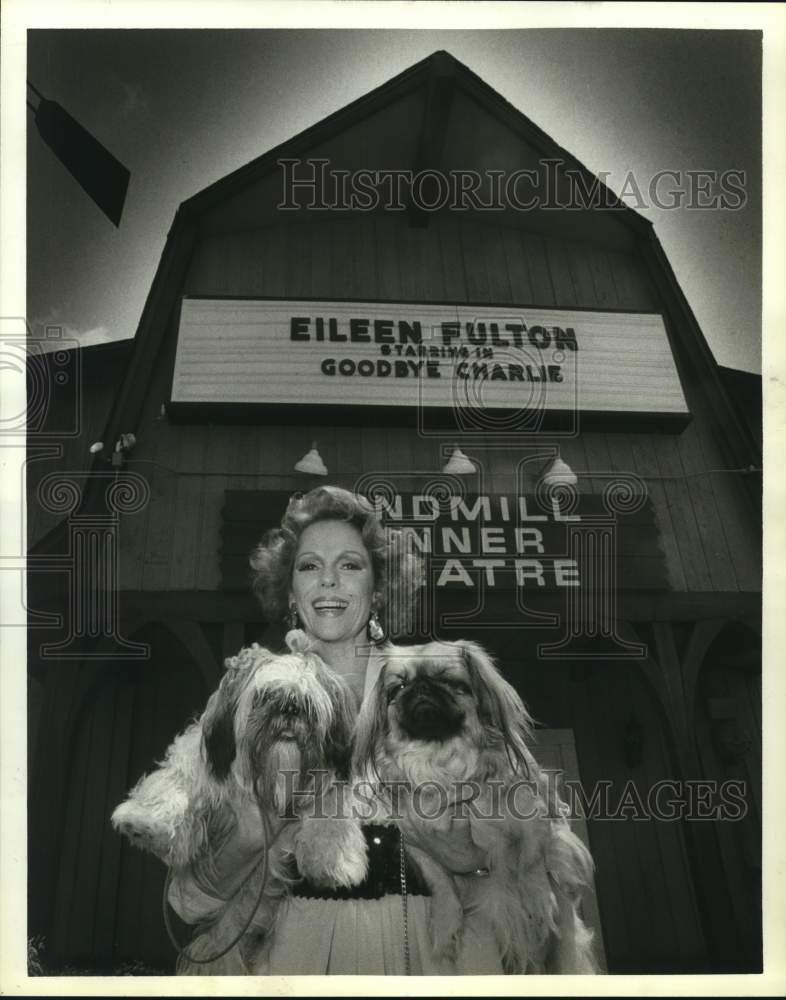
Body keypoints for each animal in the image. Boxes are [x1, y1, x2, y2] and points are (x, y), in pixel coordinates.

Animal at [111, 628, 368, 972]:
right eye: (266, 697)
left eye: (307, 704)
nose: (289, 710)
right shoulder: (203, 765)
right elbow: (179, 780)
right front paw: (146, 821)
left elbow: (330, 814)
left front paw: (334, 862)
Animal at [352, 640, 596, 976]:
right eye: (398, 687)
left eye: (449, 681)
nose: (421, 688)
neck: (439, 762)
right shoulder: (416, 844)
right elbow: (441, 883)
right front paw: (445, 925)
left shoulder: (534, 816)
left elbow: (531, 862)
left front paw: (537, 900)